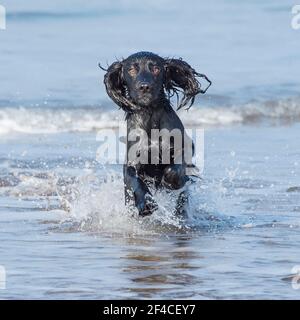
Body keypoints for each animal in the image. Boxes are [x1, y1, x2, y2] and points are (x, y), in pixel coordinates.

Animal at [101, 52, 211, 218]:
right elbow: (134, 178)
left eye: (156, 69)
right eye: (131, 69)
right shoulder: (133, 160)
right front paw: (146, 204)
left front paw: (171, 181)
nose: (145, 87)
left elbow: (176, 167)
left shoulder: (183, 147)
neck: (151, 116)